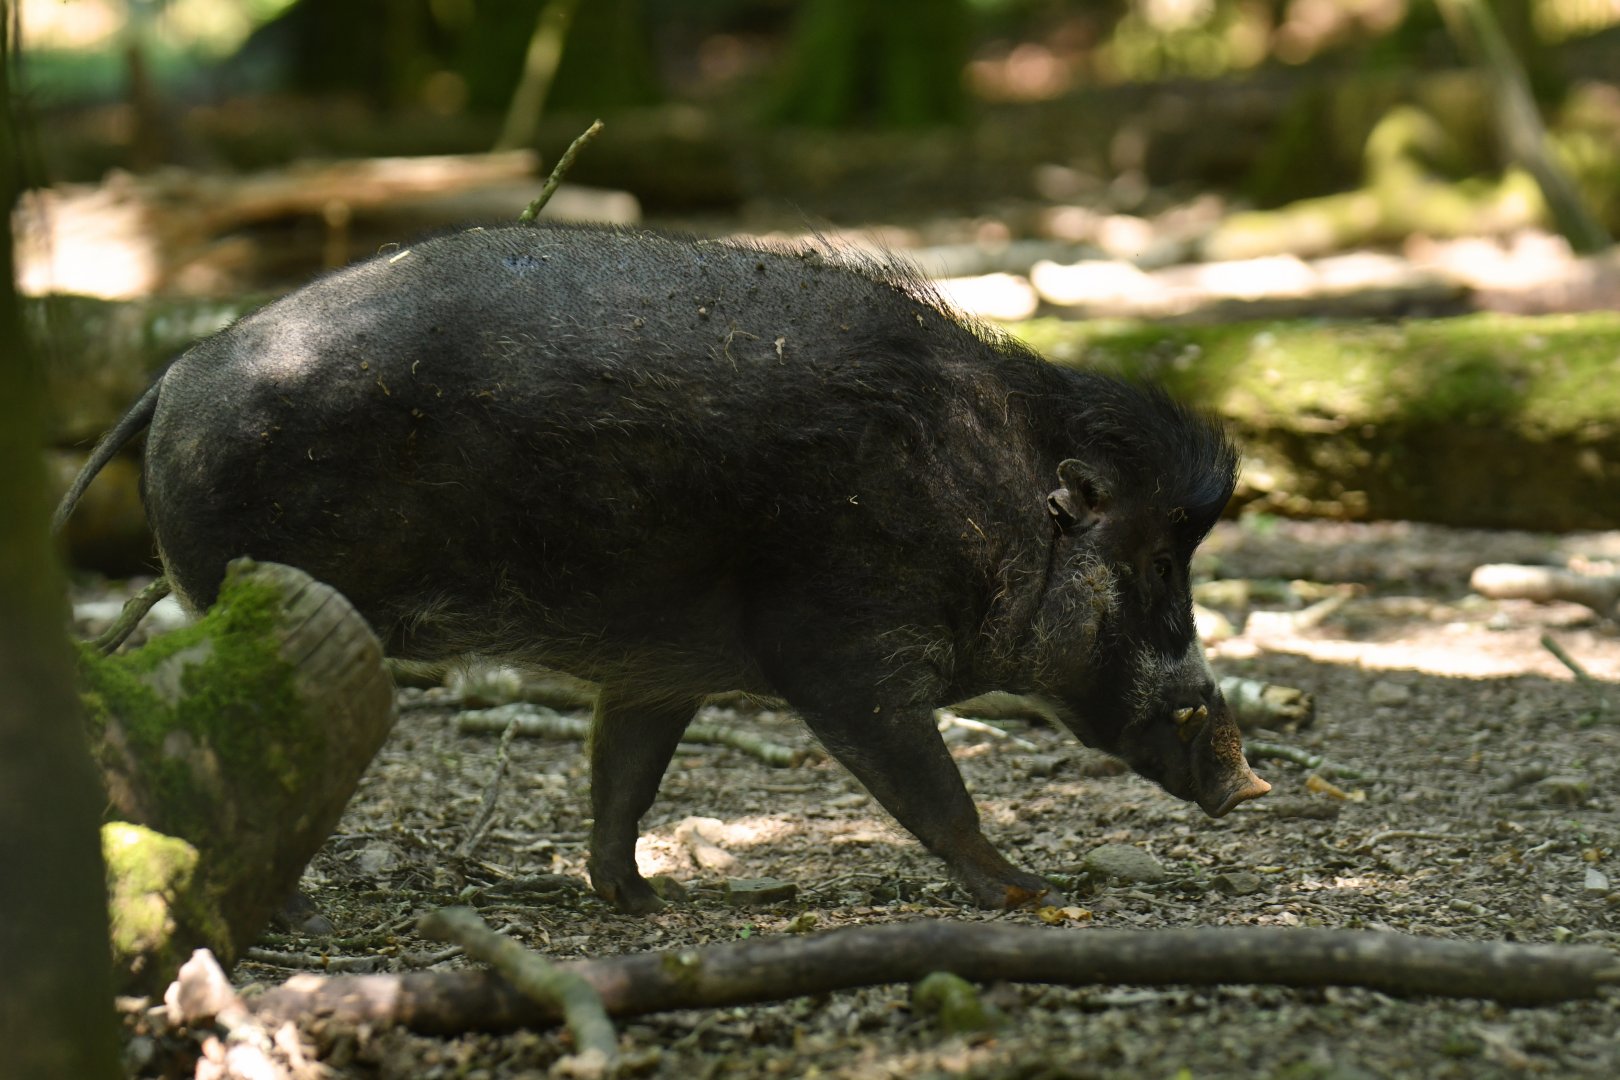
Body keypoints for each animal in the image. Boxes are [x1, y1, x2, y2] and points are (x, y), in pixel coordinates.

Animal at [56, 223, 1269, 913]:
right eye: (1149, 565)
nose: (1247, 782)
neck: (984, 500)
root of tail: (175, 372)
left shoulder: (661, 667)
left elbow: (624, 778)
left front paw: (638, 907)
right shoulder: (842, 646)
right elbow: (931, 784)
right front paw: (1032, 896)